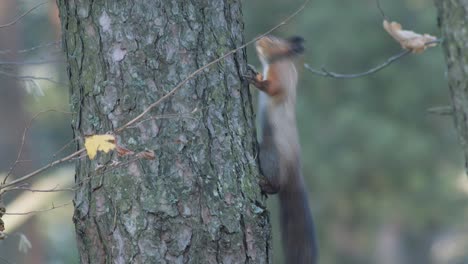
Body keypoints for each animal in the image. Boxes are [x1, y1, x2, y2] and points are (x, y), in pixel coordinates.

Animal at [245, 35, 318, 264]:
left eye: (271, 39)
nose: (257, 39)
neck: (280, 61)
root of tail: (294, 171)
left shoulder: (281, 77)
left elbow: (272, 88)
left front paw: (254, 79)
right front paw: (254, 71)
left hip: (270, 157)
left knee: (277, 186)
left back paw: (264, 183)